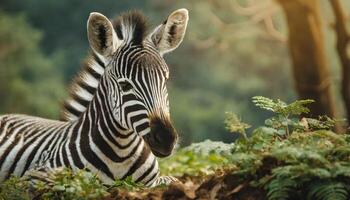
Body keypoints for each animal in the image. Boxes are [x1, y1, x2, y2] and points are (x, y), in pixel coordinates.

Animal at [0, 7, 189, 186]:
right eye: (125, 85)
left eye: (165, 80)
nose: (166, 139)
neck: (122, 153)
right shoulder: (35, 177)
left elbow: (175, 182)